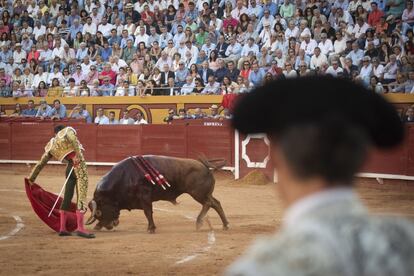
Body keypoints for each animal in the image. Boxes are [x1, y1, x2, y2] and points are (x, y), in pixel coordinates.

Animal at [86, 155, 231, 233]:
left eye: (99, 211)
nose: (109, 226)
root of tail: (204, 165)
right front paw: (97, 226)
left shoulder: (145, 196)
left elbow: (148, 212)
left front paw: (151, 228)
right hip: (204, 193)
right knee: (216, 203)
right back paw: (225, 225)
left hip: (197, 193)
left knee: (208, 203)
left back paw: (199, 222)